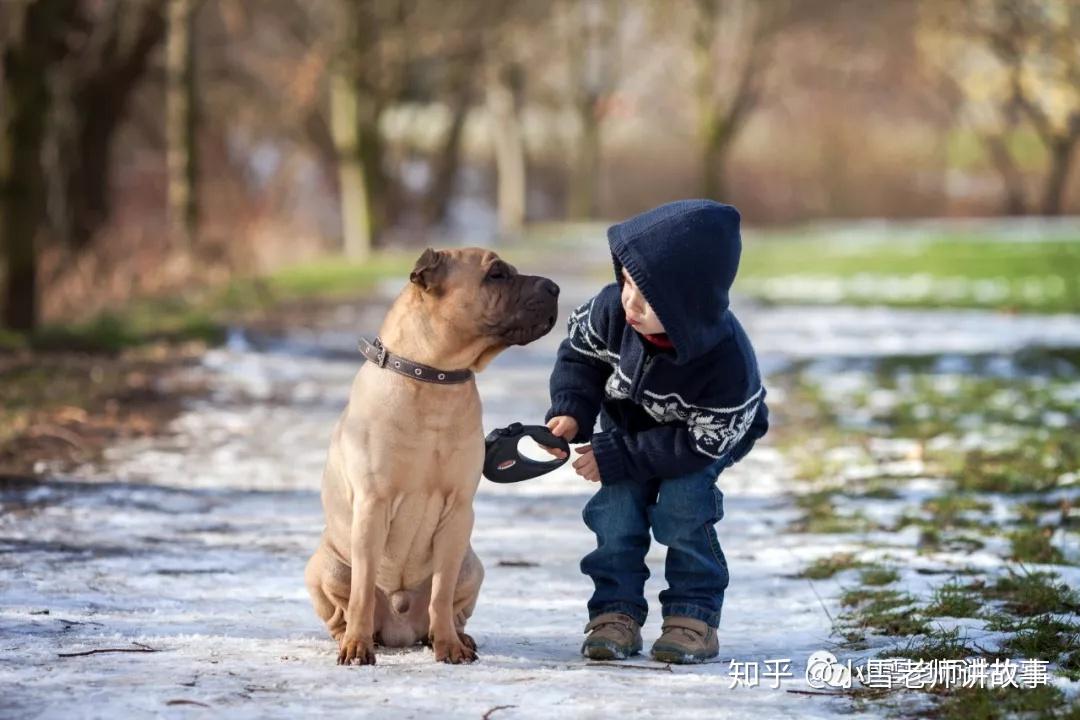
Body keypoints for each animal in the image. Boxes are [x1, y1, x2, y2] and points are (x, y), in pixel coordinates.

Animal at [304, 246, 557, 664]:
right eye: (497, 274)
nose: (554, 287)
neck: (434, 377)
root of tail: (400, 627)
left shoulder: (458, 510)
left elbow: (441, 591)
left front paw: (449, 647)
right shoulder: (373, 505)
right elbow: (361, 592)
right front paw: (356, 646)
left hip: (472, 566)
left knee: (451, 605)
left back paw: (457, 637)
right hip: (326, 567)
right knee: (344, 606)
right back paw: (354, 637)